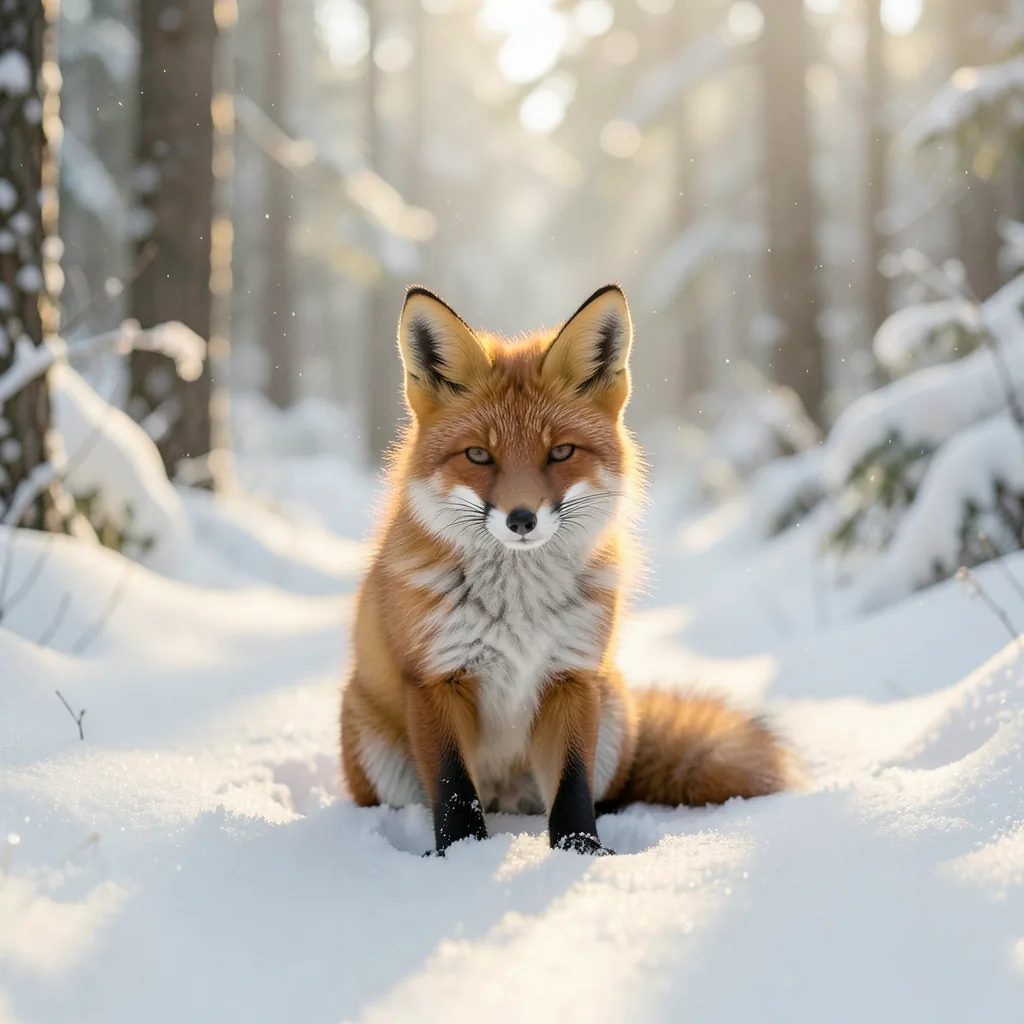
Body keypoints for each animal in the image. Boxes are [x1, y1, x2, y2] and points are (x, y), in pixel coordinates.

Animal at [340, 283, 794, 856]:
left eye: (560, 452)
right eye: (478, 455)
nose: (521, 519)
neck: (517, 607)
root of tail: (507, 800)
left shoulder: (571, 677)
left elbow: (572, 787)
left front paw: (584, 854)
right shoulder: (435, 679)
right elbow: (453, 790)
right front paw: (459, 856)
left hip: (614, 711)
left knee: (600, 794)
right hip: (374, 746)